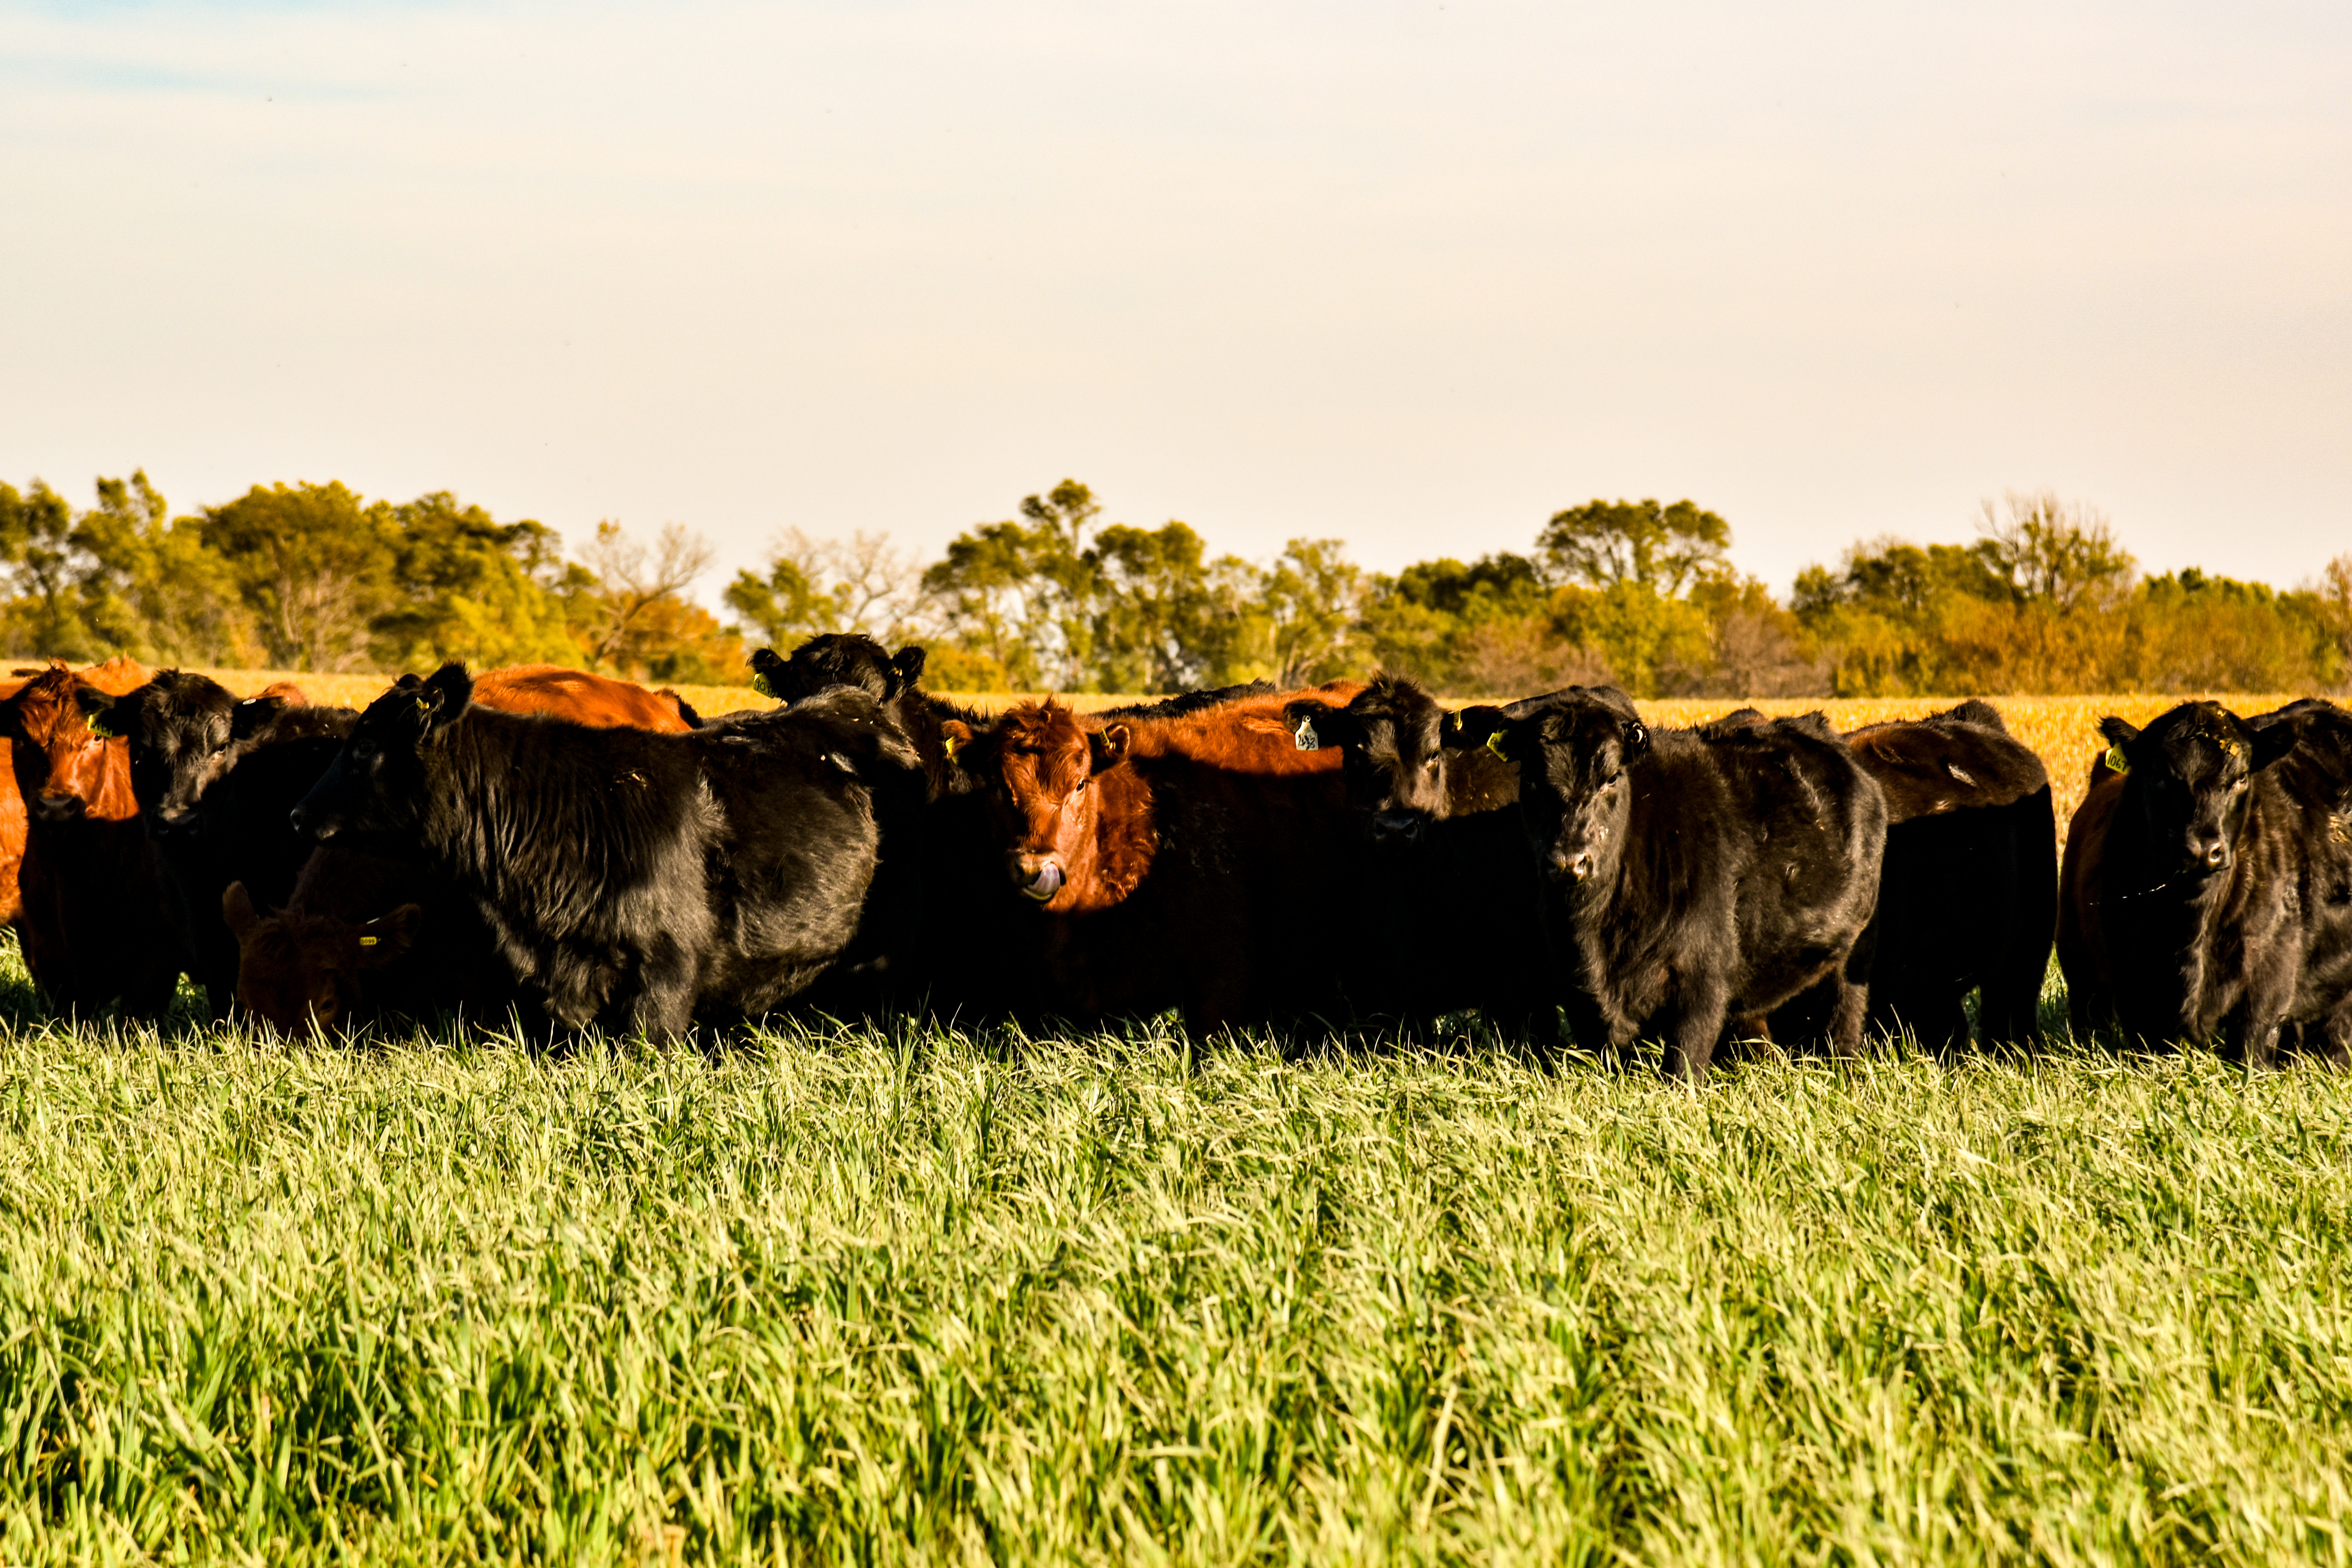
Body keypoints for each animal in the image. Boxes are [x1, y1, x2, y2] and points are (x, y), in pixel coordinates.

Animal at [1450, 687, 1887, 1082]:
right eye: (1531, 779)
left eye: (1611, 777)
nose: (1569, 861)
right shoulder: (1579, 988)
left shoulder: (1703, 981)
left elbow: (1682, 1068)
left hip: (1855, 954)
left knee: (1843, 1020)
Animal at [2067, 699, 2352, 1065]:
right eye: (2160, 776)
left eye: (2241, 777)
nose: (2203, 850)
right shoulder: (2136, 991)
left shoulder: (2266, 991)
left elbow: (2251, 1056)